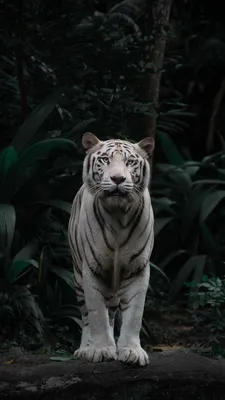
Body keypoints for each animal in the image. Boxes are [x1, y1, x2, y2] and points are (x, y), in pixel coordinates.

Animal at [67, 131, 154, 366]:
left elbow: (134, 314)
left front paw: (131, 351)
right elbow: (97, 314)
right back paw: (86, 348)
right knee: (86, 317)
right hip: (78, 277)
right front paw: (101, 349)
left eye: (130, 162)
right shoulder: (92, 269)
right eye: (105, 160)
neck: (118, 215)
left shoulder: (138, 268)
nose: (117, 179)